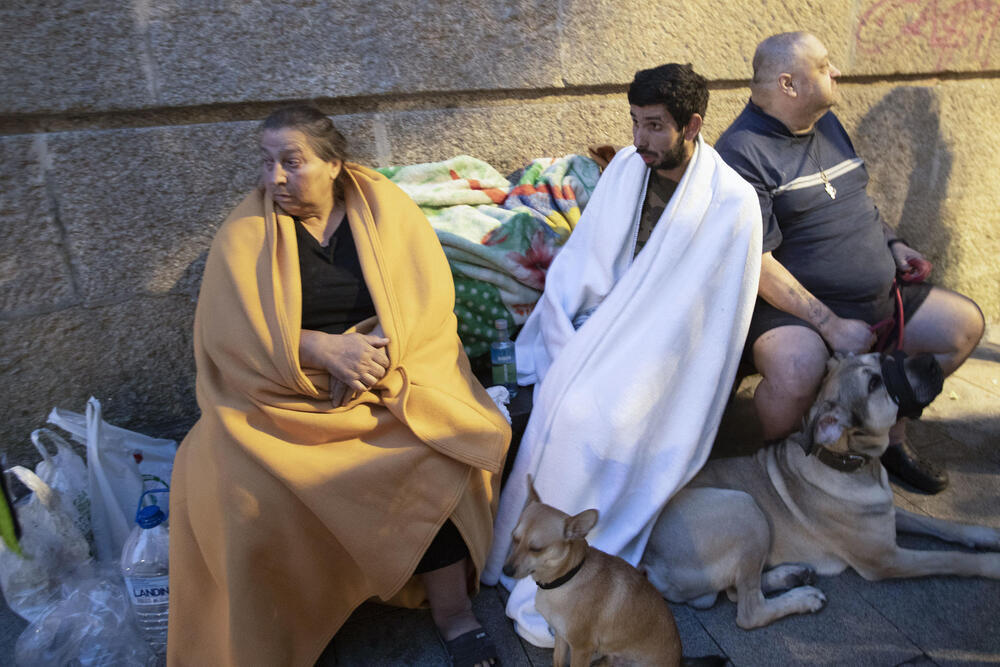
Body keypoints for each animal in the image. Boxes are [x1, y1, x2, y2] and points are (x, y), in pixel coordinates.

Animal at [504, 478, 684, 667]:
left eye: (536, 549)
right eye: (514, 538)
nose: (506, 570)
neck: (567, 578)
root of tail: (679, 660)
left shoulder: (581, 648)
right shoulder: (561, 636)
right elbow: (558, 660)